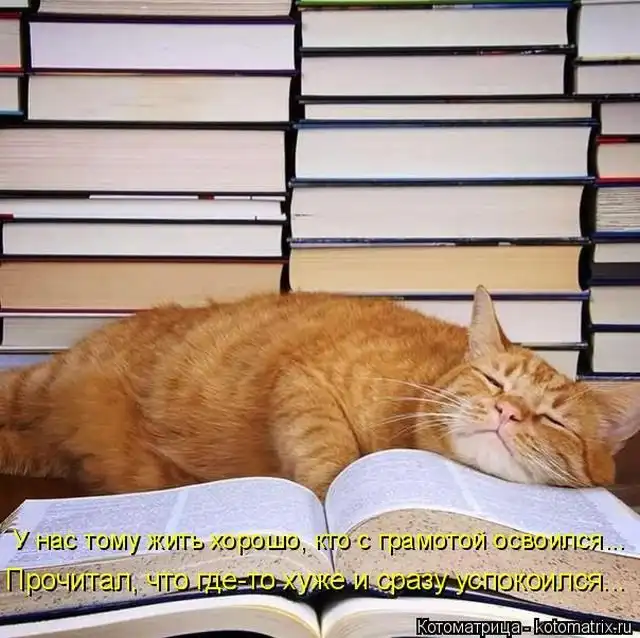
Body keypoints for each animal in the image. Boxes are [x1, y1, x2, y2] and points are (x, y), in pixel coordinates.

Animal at [0, 285, 638, 501]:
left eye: (553, 420)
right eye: (495, 382)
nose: (507, 411)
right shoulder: (305, 380)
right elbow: (331, 456)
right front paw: (335, 500)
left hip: (47, 450)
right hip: (38, 386)